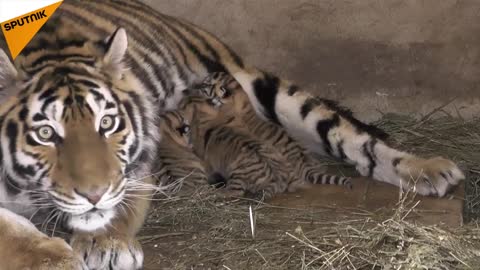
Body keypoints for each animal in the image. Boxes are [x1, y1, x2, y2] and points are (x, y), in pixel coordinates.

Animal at [0, 0, 464, 268]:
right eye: (46, 133)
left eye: (108, 123)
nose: (92, 192)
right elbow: (14, 231)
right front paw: (55, 257)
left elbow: (119, 203)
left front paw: (104, 244)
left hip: (267, 88)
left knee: (359, 141)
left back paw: (431, 170)